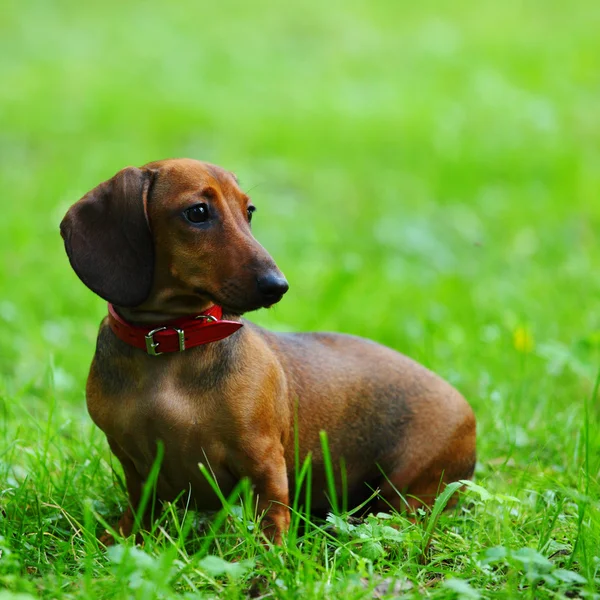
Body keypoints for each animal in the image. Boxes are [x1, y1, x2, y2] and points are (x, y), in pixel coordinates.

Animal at [59, 159, 474, 544]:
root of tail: (467, 409)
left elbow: (270, 516)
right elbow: (140, 509)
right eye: (197, 212)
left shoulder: (263, 461)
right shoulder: (132, 463)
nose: (278, 286)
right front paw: (120, 539)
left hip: (410, 487)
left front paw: (267, 559)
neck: (172, 339)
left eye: (249, 211)